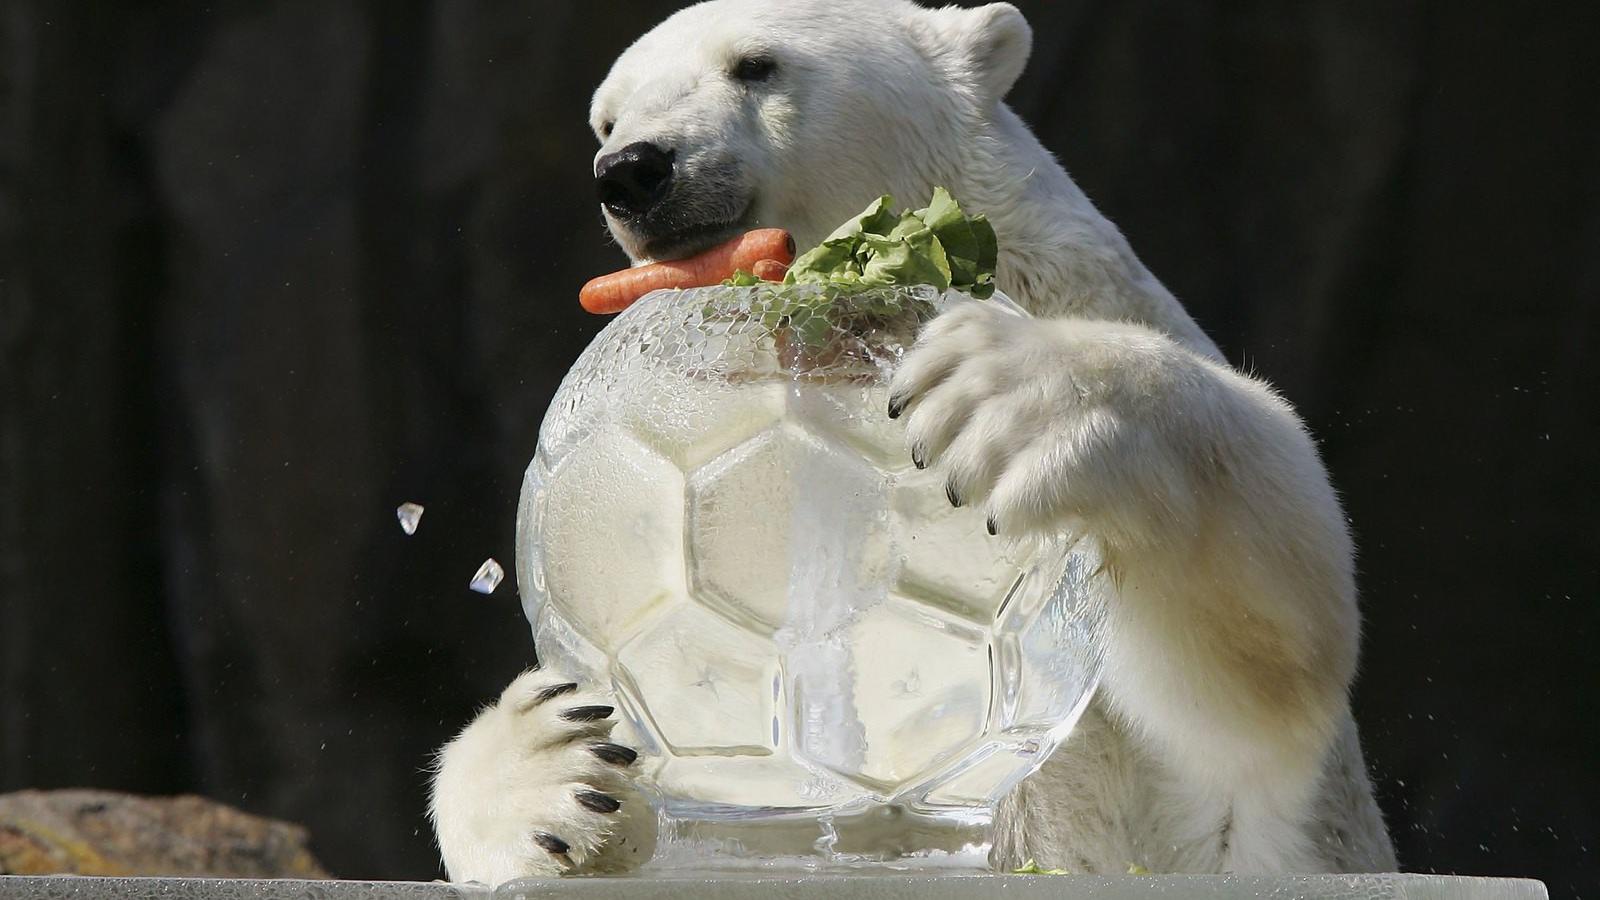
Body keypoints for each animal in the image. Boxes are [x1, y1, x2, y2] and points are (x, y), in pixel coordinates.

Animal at [432, 0, 1395, 883]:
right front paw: (549, 763)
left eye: (755, 63)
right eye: (606, 116)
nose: (632, 168)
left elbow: (1260, 687)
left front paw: (1000, 392)